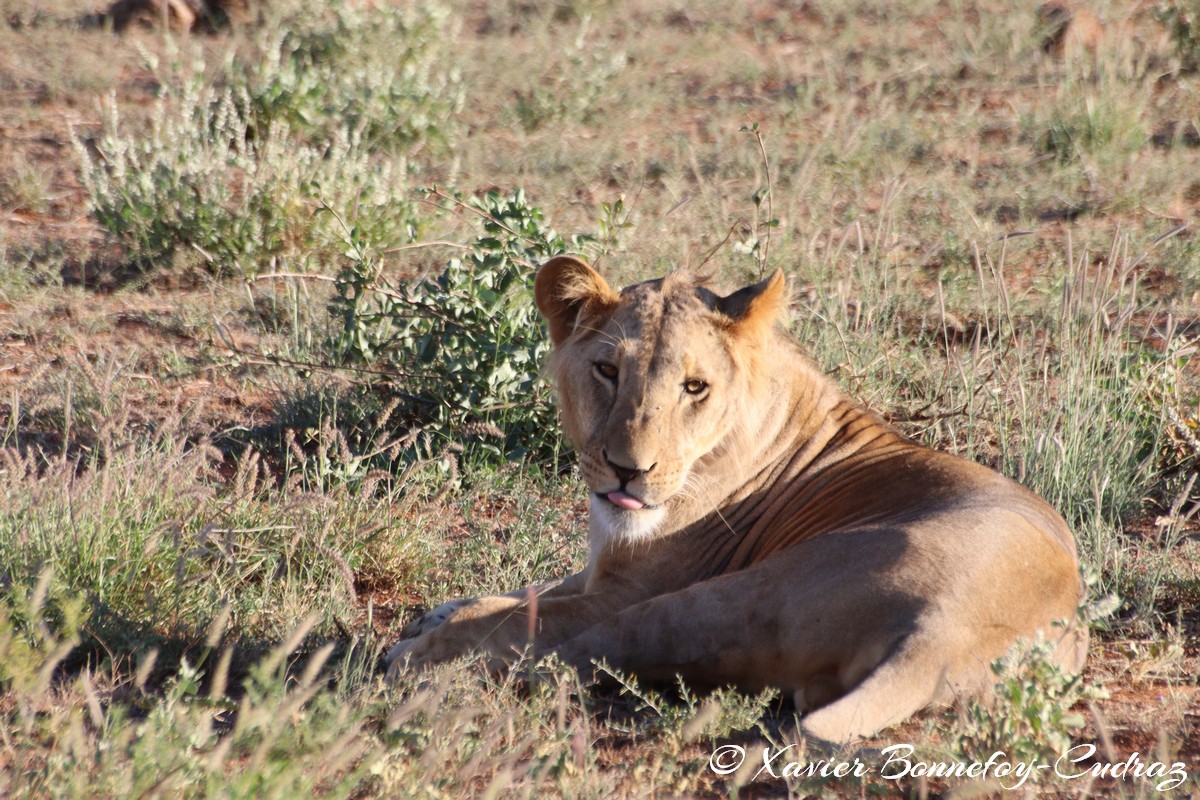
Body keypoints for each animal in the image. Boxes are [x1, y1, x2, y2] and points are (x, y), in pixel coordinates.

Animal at [386, 256, 1088, 744]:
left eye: (694, 386)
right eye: (607, 371)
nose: (627, 471)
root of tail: (940, 638)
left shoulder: (626, 587)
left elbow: (522, 614)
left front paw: (425, 641)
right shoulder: (600, 569)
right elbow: (525, 590)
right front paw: (437, 614)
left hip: (733, 594)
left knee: (572, 654)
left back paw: (424, 666)